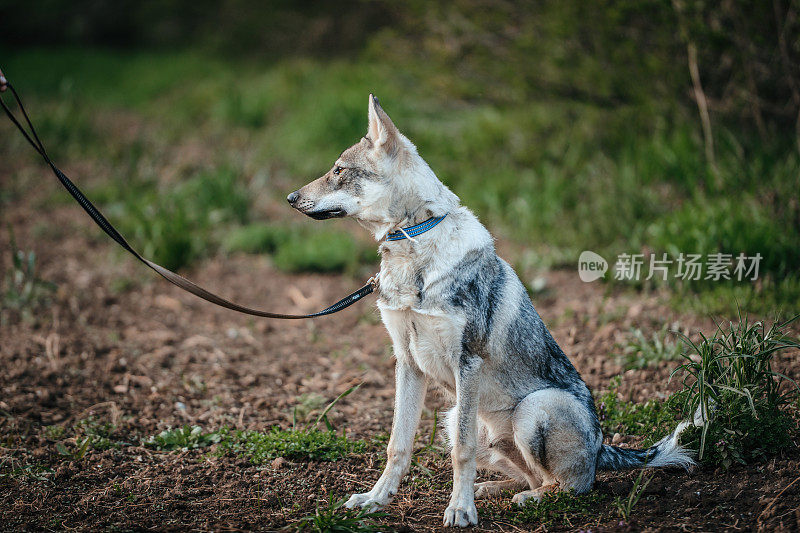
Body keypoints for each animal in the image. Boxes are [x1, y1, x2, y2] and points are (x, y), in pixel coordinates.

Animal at [290, 94, 692, 524]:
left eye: (338, 170)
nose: (291, 198)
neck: (413, 246)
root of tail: (604, 451)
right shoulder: (407, 363)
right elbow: (398, 445)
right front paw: (376, 500)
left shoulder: (467, 362)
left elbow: (461, 454)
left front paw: (460, 509)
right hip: (455, 418)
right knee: (528, 475)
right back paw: (494, 490)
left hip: (533, 410)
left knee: (571, 486)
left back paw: (529, 498)